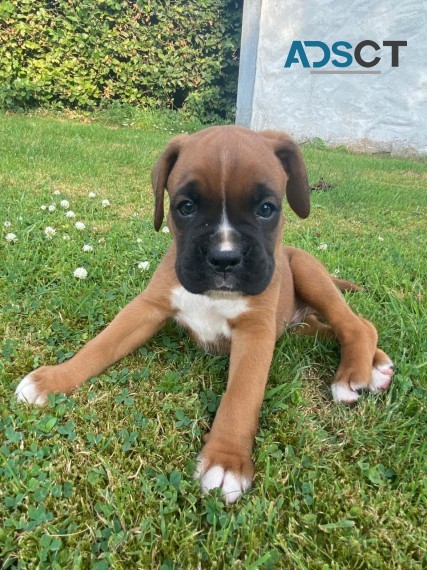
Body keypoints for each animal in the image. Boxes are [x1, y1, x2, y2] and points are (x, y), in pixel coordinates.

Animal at [15, 125, 396, 502]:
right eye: (185, 207)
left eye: (267, 208)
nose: (224, 258)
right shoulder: (147, 308)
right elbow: (100, 345)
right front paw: (54, 379)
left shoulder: (255, 332)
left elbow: (241, 395)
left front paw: (227, 461)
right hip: (297, 326)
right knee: (329, 328)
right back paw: (375, 365)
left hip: (306, 269)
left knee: (357, 323)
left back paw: (354, 374)